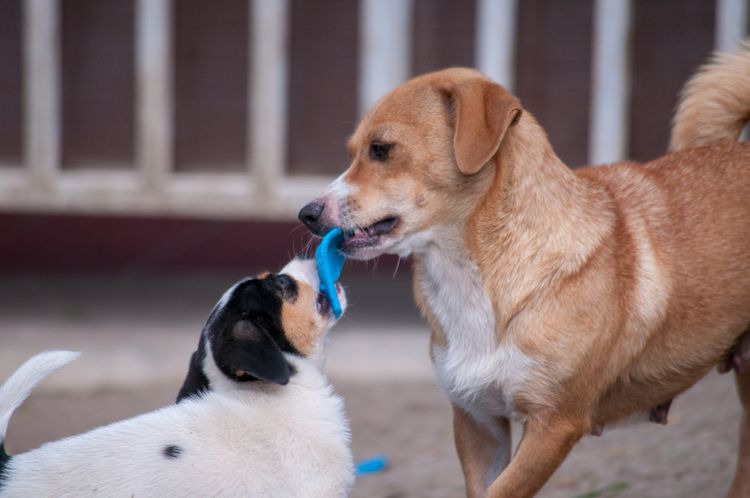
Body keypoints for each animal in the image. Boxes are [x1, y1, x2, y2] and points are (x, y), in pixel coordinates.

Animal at [302, 43, 750, 498]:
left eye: (381, 149)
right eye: (354, 152)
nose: (307, 214)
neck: (473, 274)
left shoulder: (554, 425)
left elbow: (503, 491)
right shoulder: (478, 420)